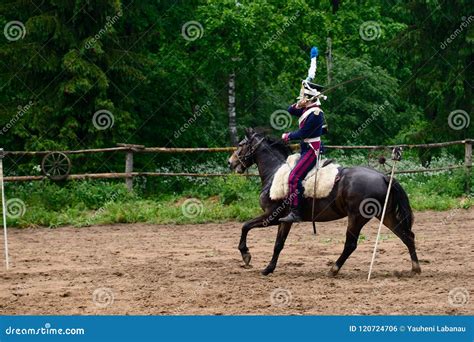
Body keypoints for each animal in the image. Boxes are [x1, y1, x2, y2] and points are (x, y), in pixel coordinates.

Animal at [228, 127, 420, 276]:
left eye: (241, 145)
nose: (230, 162)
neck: (275, 173)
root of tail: (384, 177)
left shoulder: (271, 217)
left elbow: (245, 226)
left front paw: (246, 255)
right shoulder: (284, 221)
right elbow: (278, 244)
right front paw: (269, 268)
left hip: (357, 218)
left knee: (351, 244)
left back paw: (334, 269)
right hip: (386, 215)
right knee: (407, 236)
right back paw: (415, 268)